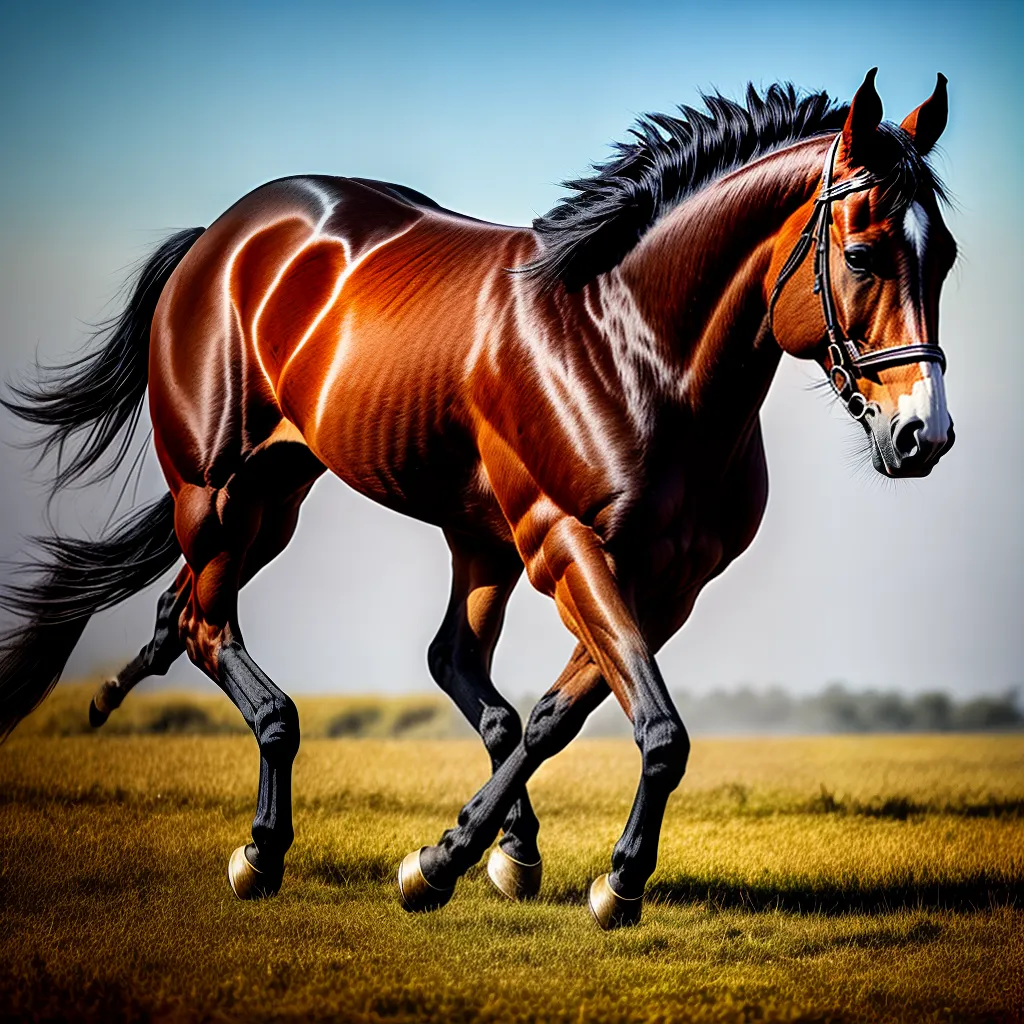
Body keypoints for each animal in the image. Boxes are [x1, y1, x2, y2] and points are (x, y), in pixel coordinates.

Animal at [0, 69, 955, 929]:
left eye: (943, 256)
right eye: (862, 255)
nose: (924, 436)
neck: (631, 348)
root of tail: (222, 236)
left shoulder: (666, 586)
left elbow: (557, 720)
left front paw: (472, 860)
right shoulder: (568, 546)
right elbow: (652, 729)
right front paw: (575, 876)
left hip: (312, 503)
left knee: (422, 657)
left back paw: (497, 847)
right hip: (220, 492)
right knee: (210, 630)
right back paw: (263, 848)